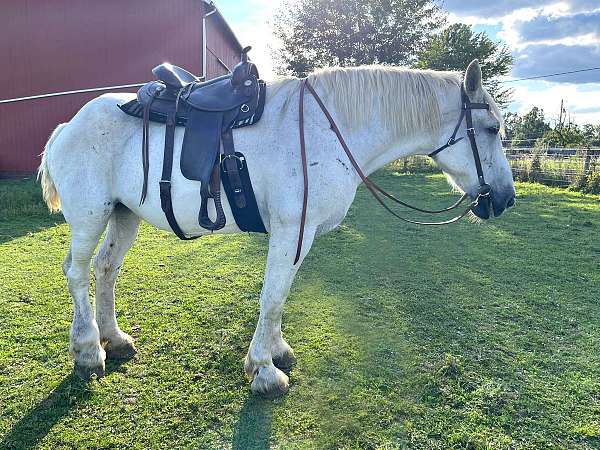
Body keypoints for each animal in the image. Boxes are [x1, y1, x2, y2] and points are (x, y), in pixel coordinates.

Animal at [37, 60, 516, 398]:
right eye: (492, 128)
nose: (506, 199)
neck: (329, 131)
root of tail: (67, 125)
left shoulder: (299, 235)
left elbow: (281, 297)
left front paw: (276, 351)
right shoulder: (290, 230)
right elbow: (273, 296)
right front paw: (264, 371)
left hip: (124, 214)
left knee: (105, 270)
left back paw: (114, 338)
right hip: (90, 216)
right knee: (76, 273)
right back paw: (88, 350)